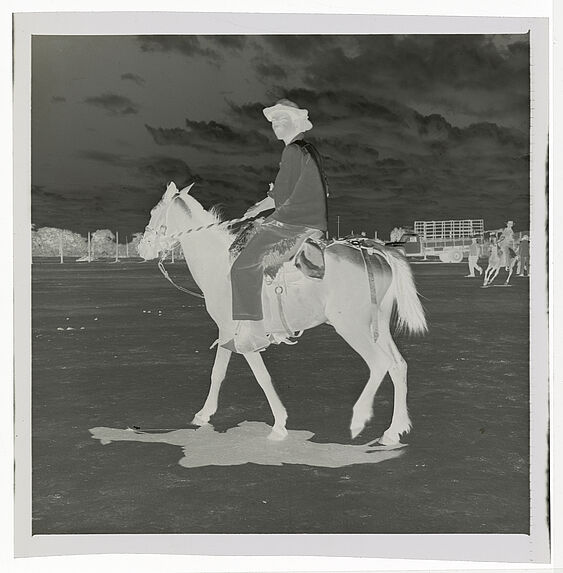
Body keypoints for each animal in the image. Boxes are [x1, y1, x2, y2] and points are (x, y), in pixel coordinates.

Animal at [138, 181, 428, 444]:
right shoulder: (227, 331)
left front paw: (279, 424)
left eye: (153, 211)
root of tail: (375, 252)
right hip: (378, 325)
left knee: (379, 363)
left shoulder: (242, 334)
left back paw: (360, 419)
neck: (219, 265)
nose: (142, 247)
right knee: (398, 365)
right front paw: (203, 414)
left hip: (352, 326)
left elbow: (262, 377)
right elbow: (218, 373)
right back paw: (393, 430)